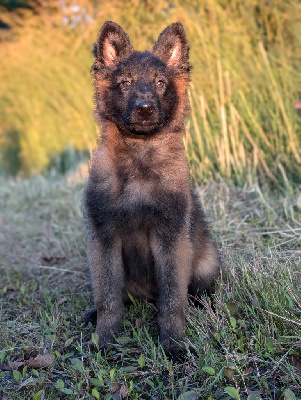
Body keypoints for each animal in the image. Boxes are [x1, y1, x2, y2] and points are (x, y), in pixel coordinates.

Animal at [83, 20, 219, 360]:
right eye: (126, 83)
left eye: (159, 83)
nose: (144, 109)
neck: (139, 158)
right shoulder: (103, 238)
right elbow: (108, 298)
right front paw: (104, 339)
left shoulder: (170, 238)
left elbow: (172, 300)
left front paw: (173, 343)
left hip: (205, 262)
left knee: (198, 291)